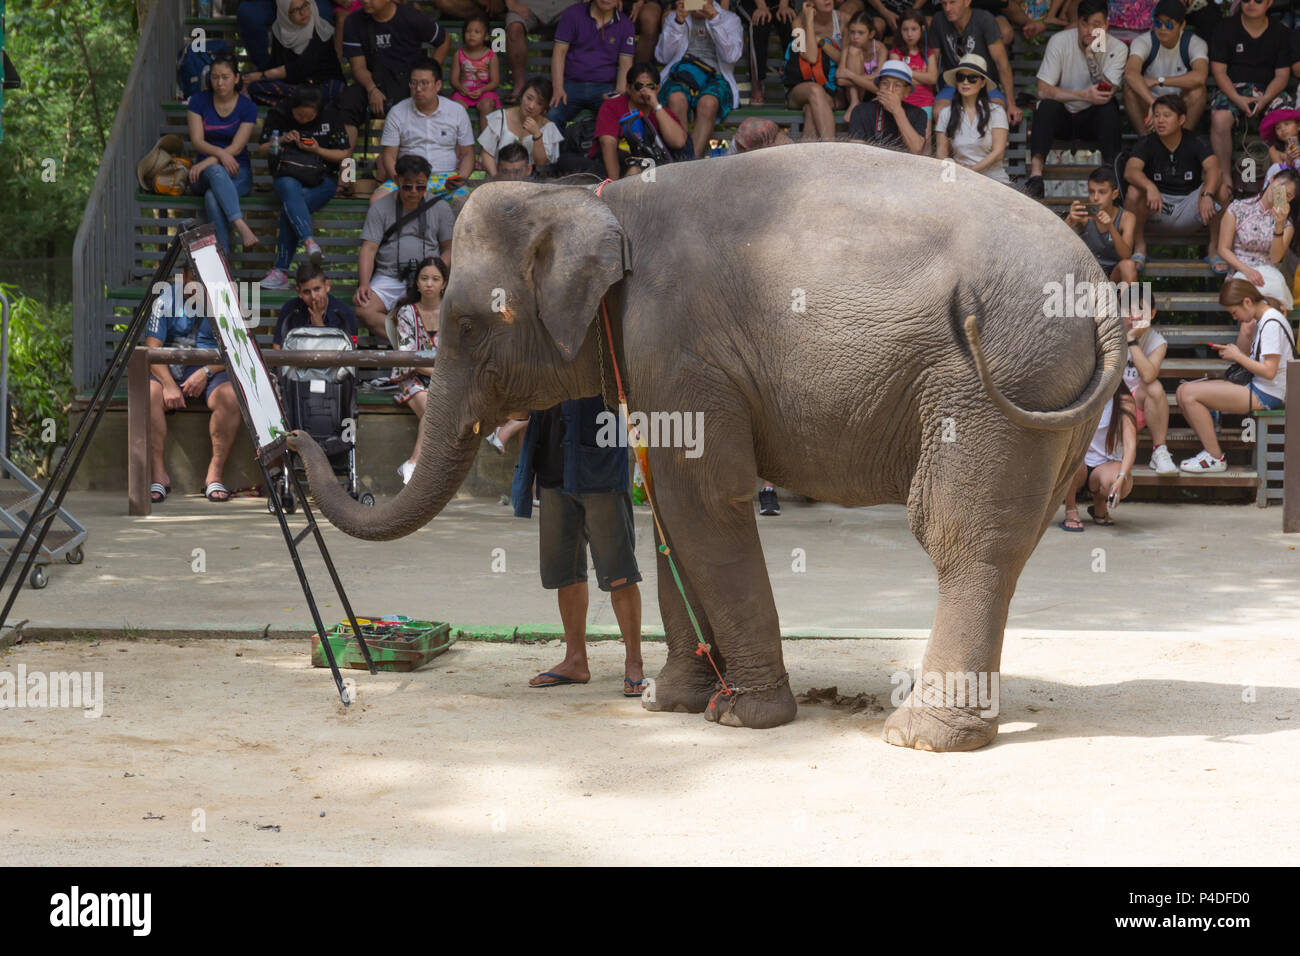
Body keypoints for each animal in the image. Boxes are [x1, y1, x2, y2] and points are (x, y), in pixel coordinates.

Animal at [289, 143, 1123, 754]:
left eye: (463, 324)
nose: (290, 440)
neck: (594, 197)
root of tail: (1106, 297)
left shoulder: (677, 344)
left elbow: (703, 502)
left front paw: (742, 717)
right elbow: (665, 508)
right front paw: (674, 704)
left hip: (991, 380)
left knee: (959, 536)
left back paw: (919, 738)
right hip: (1045, 402)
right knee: (1008, 540)